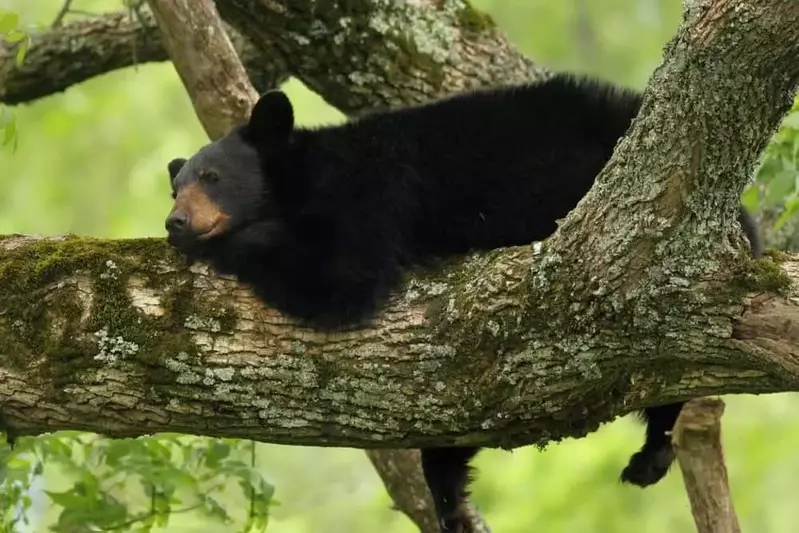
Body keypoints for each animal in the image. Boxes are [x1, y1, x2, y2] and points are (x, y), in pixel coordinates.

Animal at [162, 74, 764, 532]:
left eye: (212, 177)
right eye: (177, 186)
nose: (176, 222)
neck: (305, 178)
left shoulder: (372, 196)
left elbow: (339, 280)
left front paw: (232, 242)